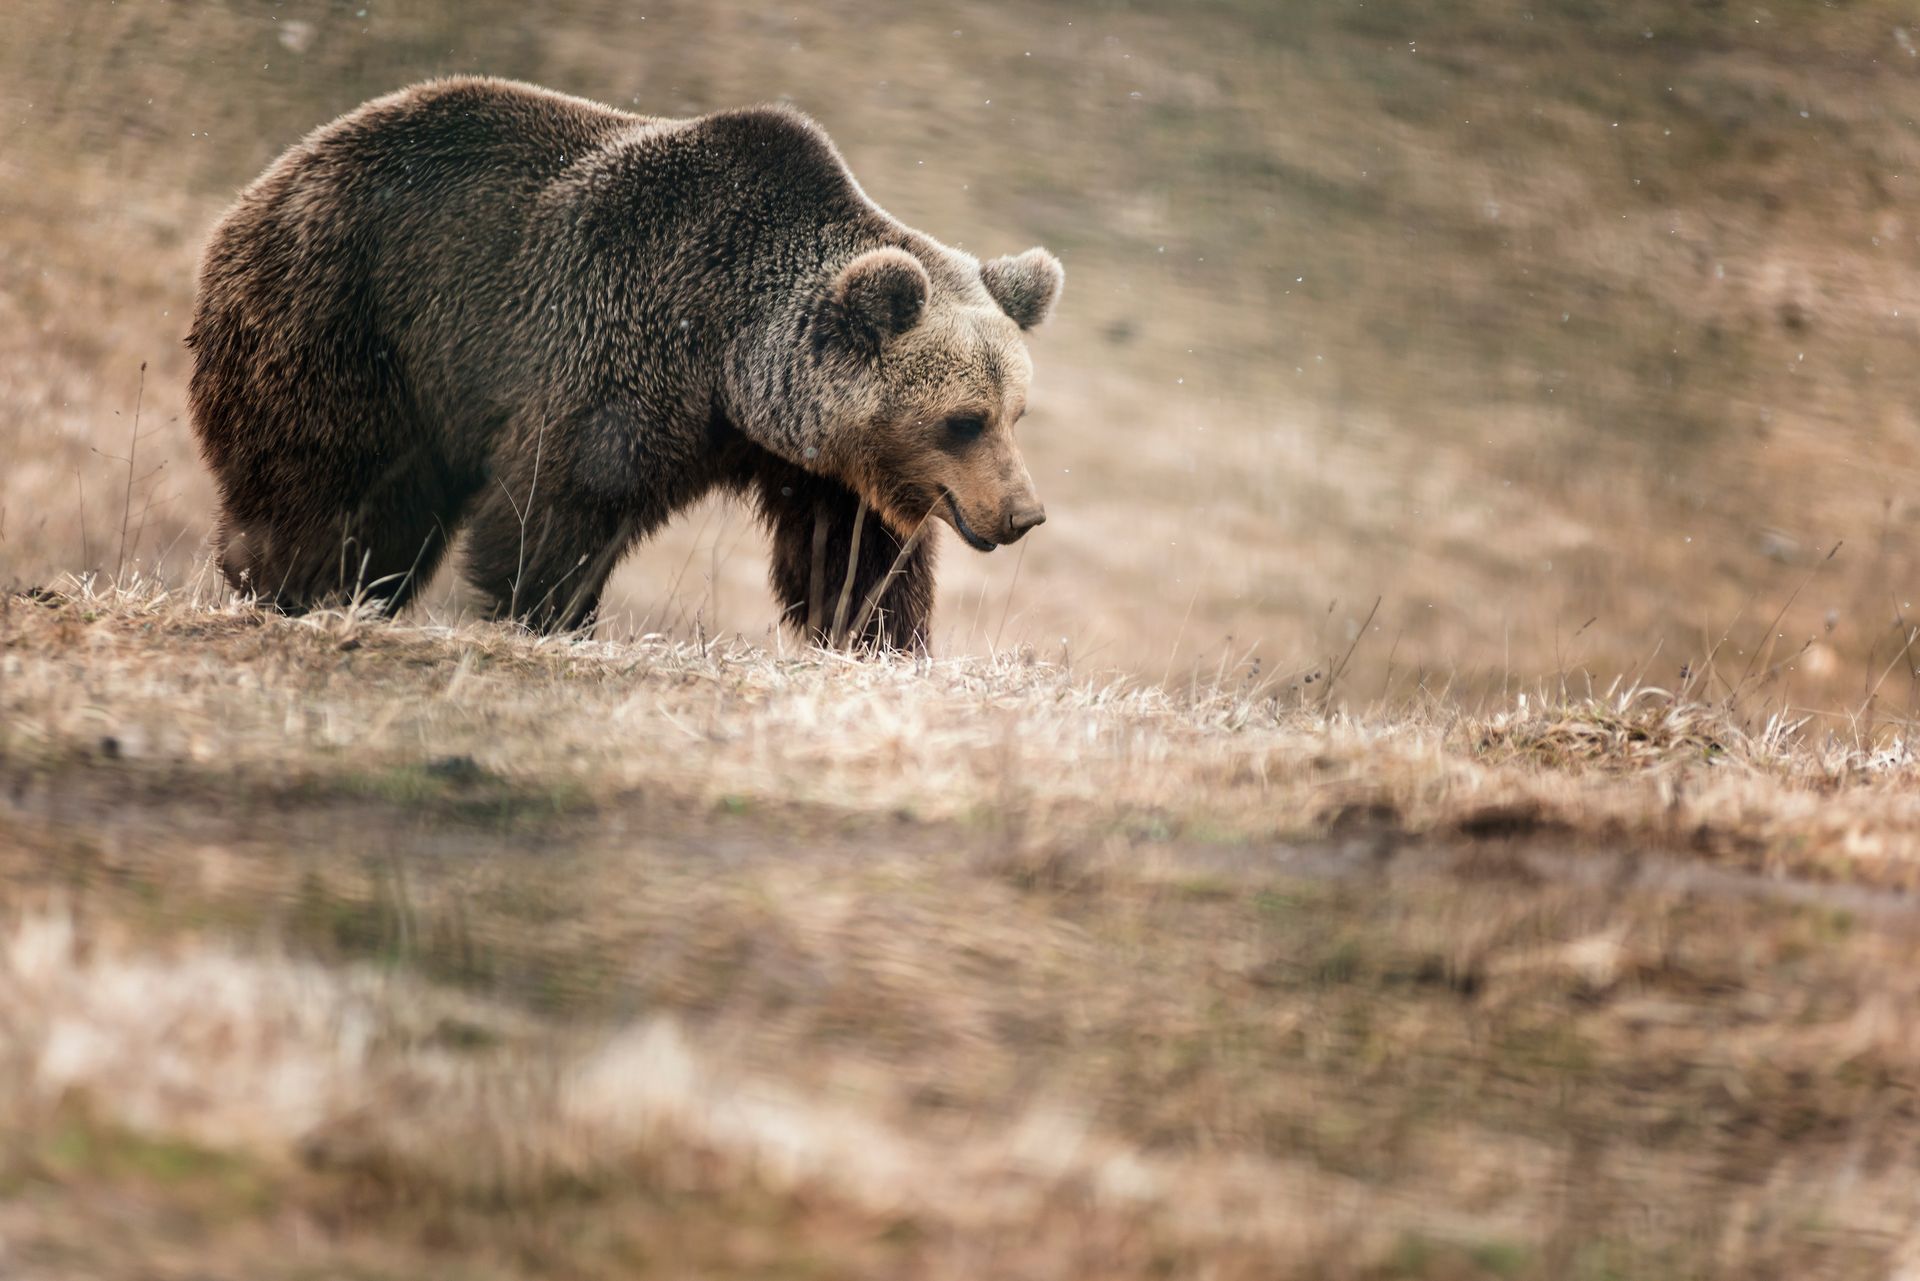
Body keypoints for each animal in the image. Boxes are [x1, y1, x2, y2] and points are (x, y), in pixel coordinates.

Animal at [185, 75, 1059, 645]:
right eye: (963, 420)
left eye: (1016, 414)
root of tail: (276, 176)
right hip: (352, 318)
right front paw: (548, 614)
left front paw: (878, 633)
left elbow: (851, 553)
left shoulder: (822, 455)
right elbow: (561, 502)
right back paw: (289, 582)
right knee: (327, 479)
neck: (729, 359)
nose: (1023, 514)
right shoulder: (619, 348)